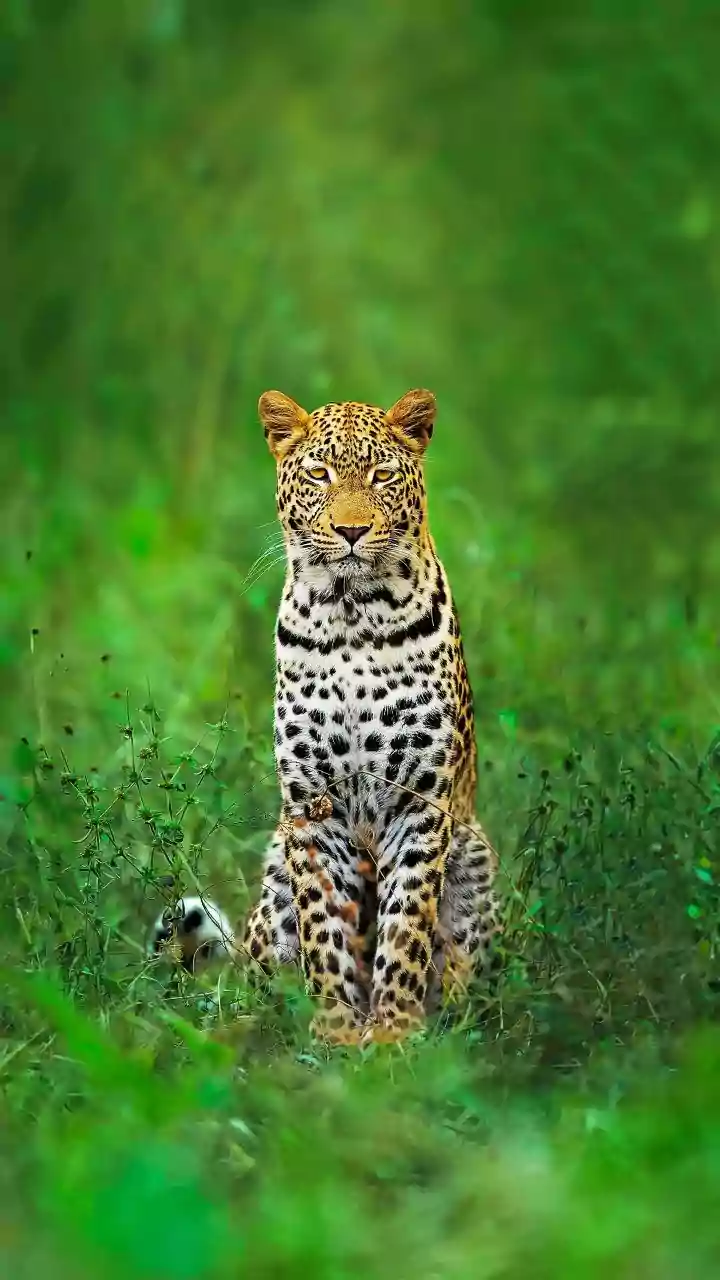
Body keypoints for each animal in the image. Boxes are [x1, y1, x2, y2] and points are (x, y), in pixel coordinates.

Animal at [152, 388, 500, 1045]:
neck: (352, 614)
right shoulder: (313, 808)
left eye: (381, 475)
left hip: (474, 852)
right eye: (320, 474)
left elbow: (406, 927)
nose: (352, 529)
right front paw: (337, 1033)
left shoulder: (420, 805)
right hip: (273, 881)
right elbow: (324, 930)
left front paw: (392, 1034)